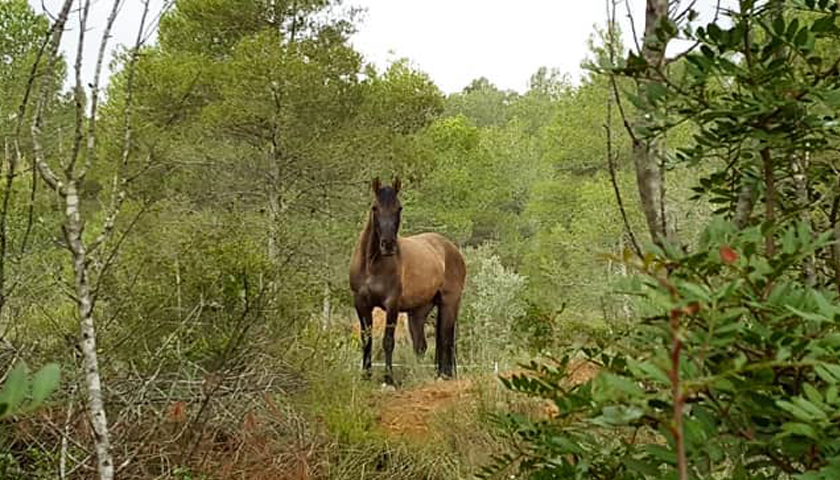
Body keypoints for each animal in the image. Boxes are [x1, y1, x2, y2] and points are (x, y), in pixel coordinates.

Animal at [348, 178, 466, 384]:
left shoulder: (392, 304)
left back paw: (445, 375)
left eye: (399, 208)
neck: (371, 264)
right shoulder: (361, 303)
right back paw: (420, 376)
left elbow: (388, 341)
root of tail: (451, 249)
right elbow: (366, 339)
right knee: (421, 346)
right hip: (418, 312)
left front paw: (388, 380)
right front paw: (366, 376)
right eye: (374, 207)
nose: (388, 245)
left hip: (449, 303)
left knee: (446, 339)